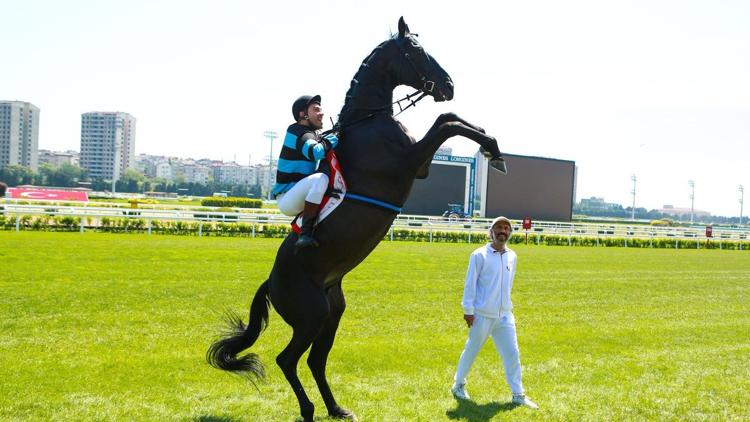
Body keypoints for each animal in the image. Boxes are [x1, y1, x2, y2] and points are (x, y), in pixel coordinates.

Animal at [209, 17, 508, 422]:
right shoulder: (412, 162)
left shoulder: (418, 161)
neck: (370, 123)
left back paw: (336, 407)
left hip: (332, 312)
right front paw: (493, 149)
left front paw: (491, 145)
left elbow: (449, 119)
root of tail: (271, 282)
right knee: (288, 359)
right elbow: (446, 124)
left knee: (316, 360)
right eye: (415, 50)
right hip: (311, 315)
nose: (448, 85)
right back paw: (309, 409)